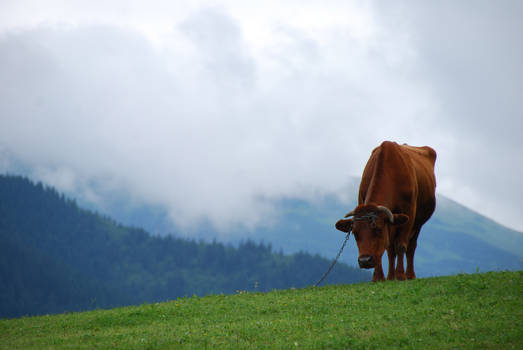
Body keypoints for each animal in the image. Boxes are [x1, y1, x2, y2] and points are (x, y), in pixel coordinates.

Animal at [338, 141, 436, 280]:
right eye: (354, 233)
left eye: (378, 229)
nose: (364, 260)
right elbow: (385, 248)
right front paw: (378, 278)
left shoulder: (409, 214)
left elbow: (401, 245)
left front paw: (400, 275)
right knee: (390, 249)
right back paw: (390, 276)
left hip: (418, 223)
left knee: (411, 246)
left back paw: (410, 275)